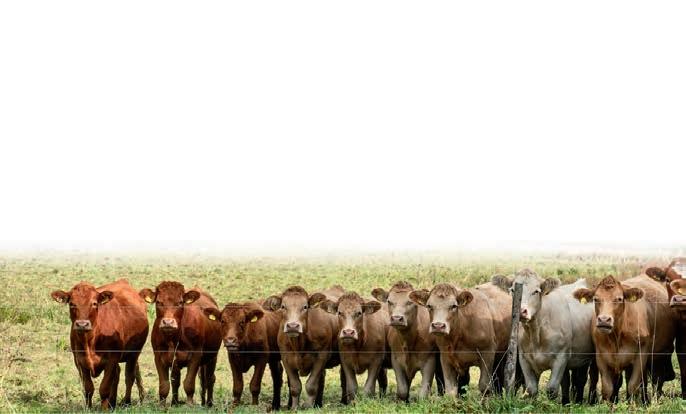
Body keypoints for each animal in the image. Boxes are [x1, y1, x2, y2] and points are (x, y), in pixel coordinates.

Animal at [51, 279, 148, 410]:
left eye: (94, 303)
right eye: (72, 303)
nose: (82, 324)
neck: (89, 341)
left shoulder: (112, 359)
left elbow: (104, 388)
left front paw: (104, 409)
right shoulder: (79, 361)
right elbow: (88, 388)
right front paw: (88, 408)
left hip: (134, 353)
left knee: (129, 376)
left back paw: (126, 402)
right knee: (118, 374)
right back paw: (113, 403)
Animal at [492, 270, 597, 404]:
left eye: (536, 291)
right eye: (512, 290)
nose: (521, 311)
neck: (536, 334)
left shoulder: (561, 358)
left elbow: (552, 389)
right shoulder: (524, 359)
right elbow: (531, 389)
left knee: (585, 379)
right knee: (567, 381)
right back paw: (566, 402)